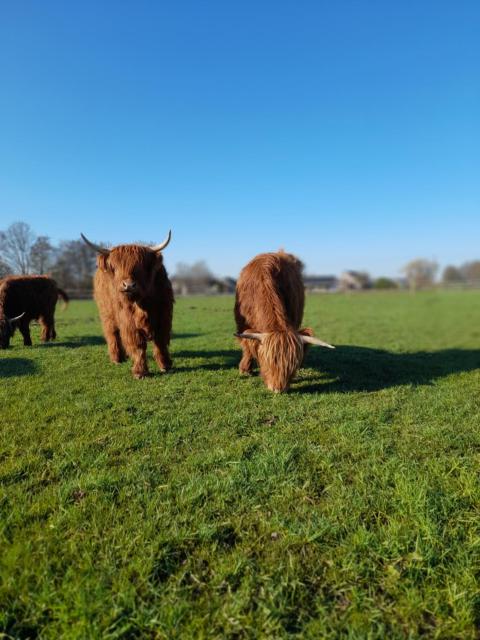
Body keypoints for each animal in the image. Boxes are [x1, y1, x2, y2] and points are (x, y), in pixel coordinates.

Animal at [80, 231, 174, 378]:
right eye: (116, 267)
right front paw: (140, 371)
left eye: (141, 266)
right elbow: (137, 344)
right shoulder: (128, 320)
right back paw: (117, 358)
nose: (128, 285)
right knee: (112, 334)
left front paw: (165, 365)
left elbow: (161, 341)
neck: (143, 304)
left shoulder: (164, 316)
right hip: (107, 314)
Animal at [233, 249, 334, 390]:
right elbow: (247, 345)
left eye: (292, 366)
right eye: (267, 362)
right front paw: (245, 370)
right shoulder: (242, 325)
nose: (277, 389)